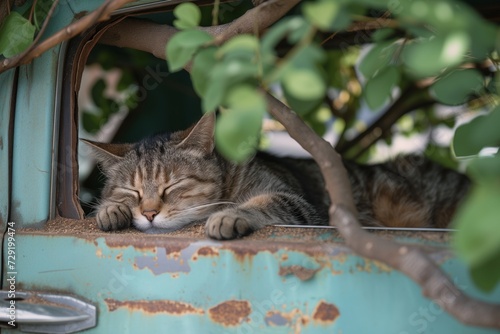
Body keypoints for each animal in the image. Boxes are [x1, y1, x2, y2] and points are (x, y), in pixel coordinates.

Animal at [82, 113, 468, 239]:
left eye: (173, 186)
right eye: (132, 192)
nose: (148, 213)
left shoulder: (298, 202)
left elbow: (262, 203)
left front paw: (229, 215)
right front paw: (110, 210)